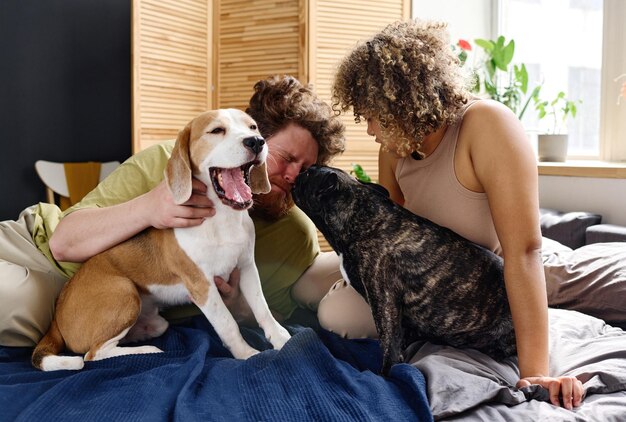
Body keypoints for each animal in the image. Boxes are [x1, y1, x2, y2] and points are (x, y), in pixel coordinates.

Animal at [290, 166, 516, 374]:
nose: (298, 173)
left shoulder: (384, 300)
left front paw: (387, 373)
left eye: (309, 174)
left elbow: (388, 344)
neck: (360, 218)